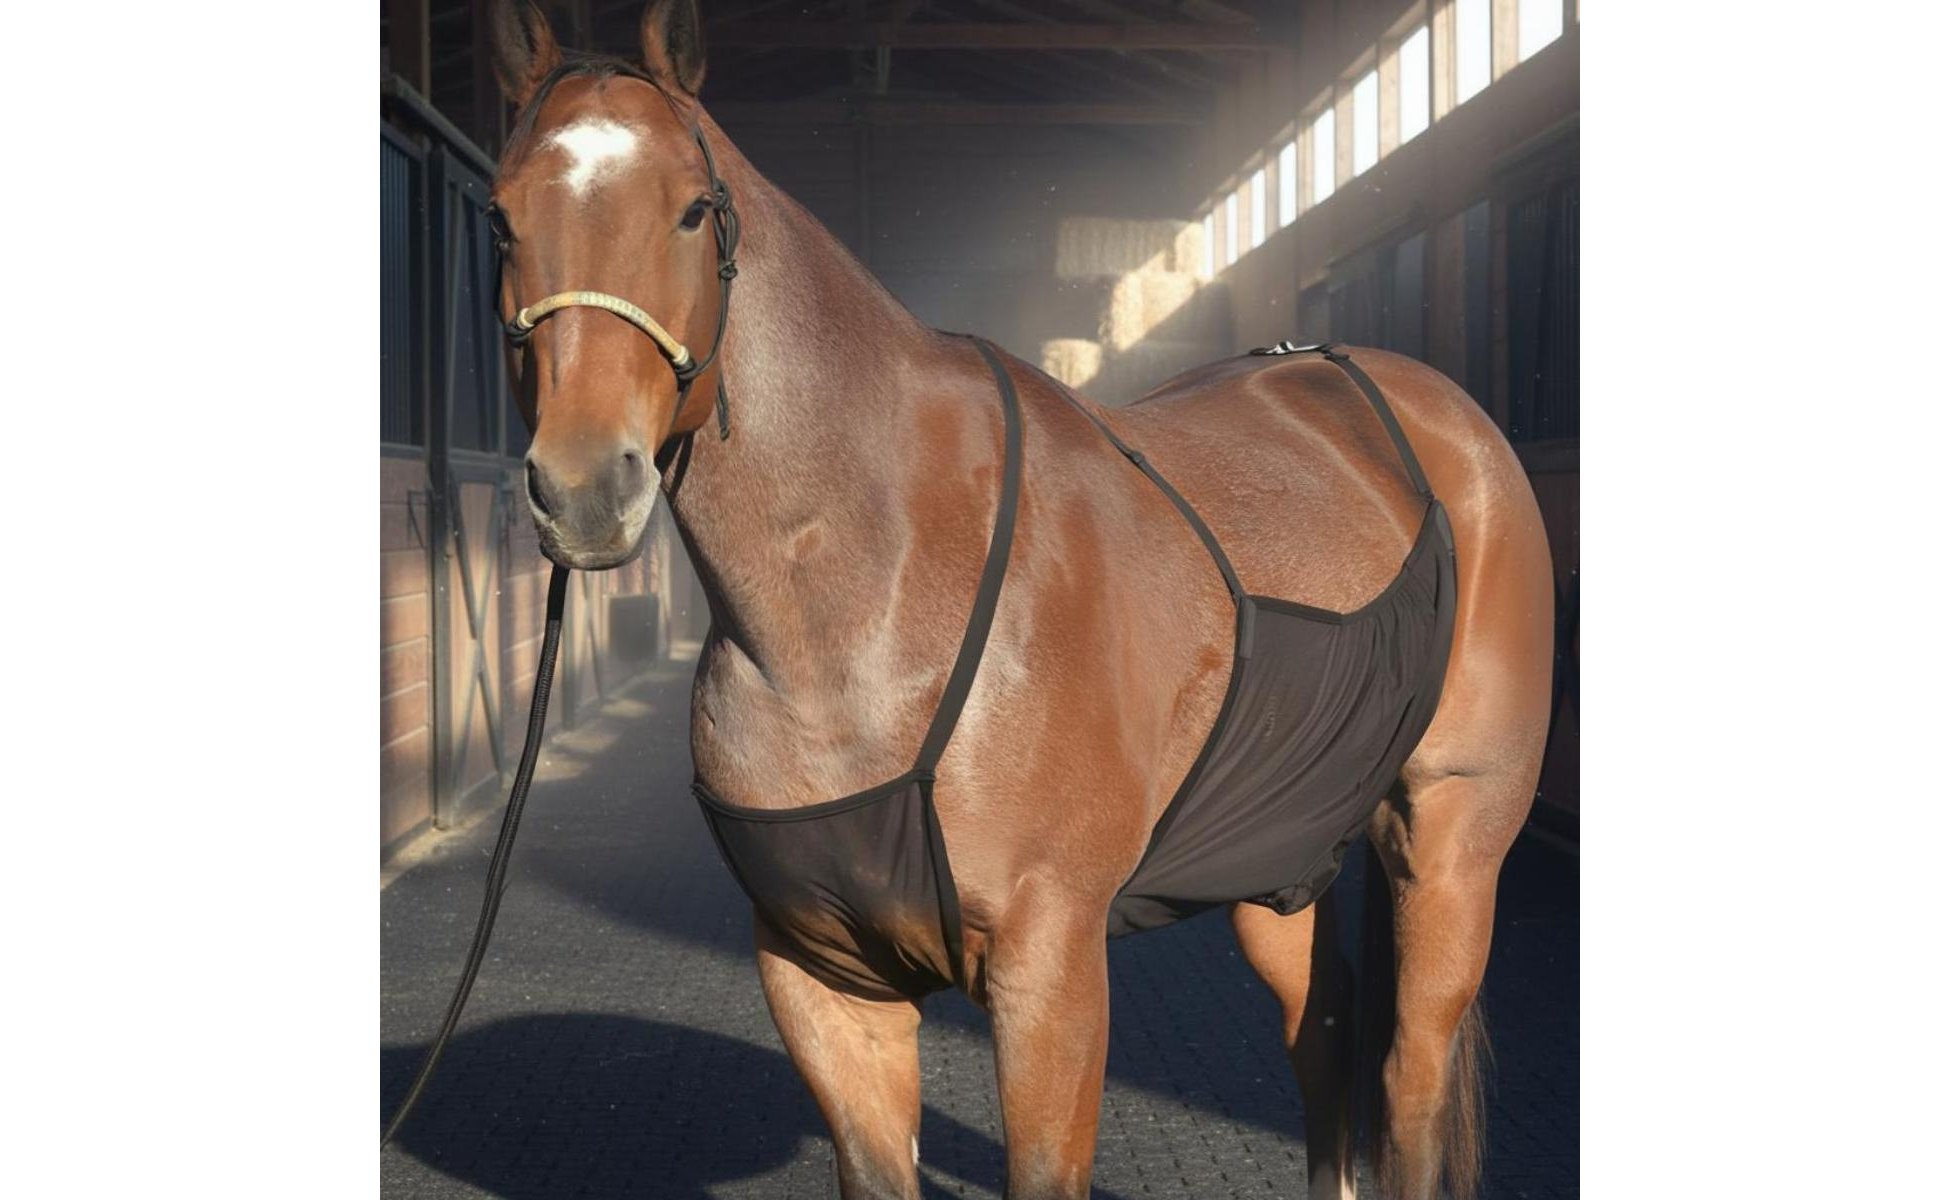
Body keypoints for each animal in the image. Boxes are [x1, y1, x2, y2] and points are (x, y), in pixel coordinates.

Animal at [481, 3, 1554, 1197]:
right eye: (500, 218)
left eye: (690, 209)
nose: (583, 487)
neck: (870, 603)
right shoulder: (820, 975)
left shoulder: (1052, 969)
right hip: (1280, 853)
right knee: (1322, 1030)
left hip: (1452, 839)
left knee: (1410, 1073)